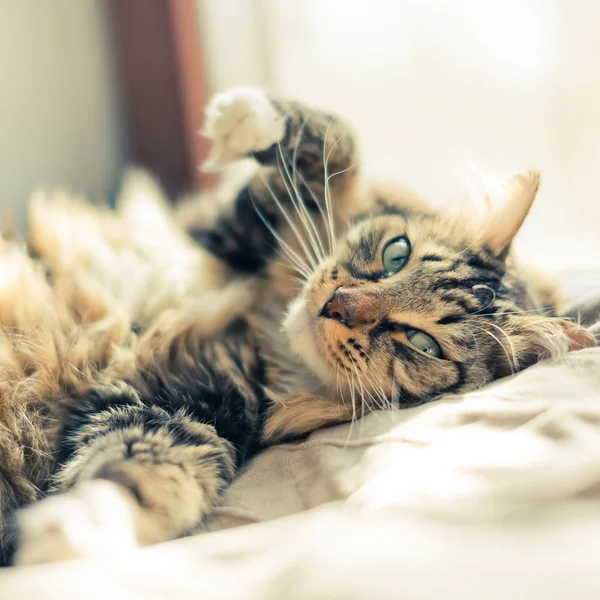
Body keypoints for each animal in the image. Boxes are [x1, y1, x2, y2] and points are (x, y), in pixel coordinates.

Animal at [0, 86, 596, 564]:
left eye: (421, 342)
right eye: (397, 253)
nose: (339, 305)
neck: (263, 331)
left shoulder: (185, 411)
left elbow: (136, 475)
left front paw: (62, 537)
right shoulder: (226, 228)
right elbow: (335, 150)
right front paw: (247, 117)